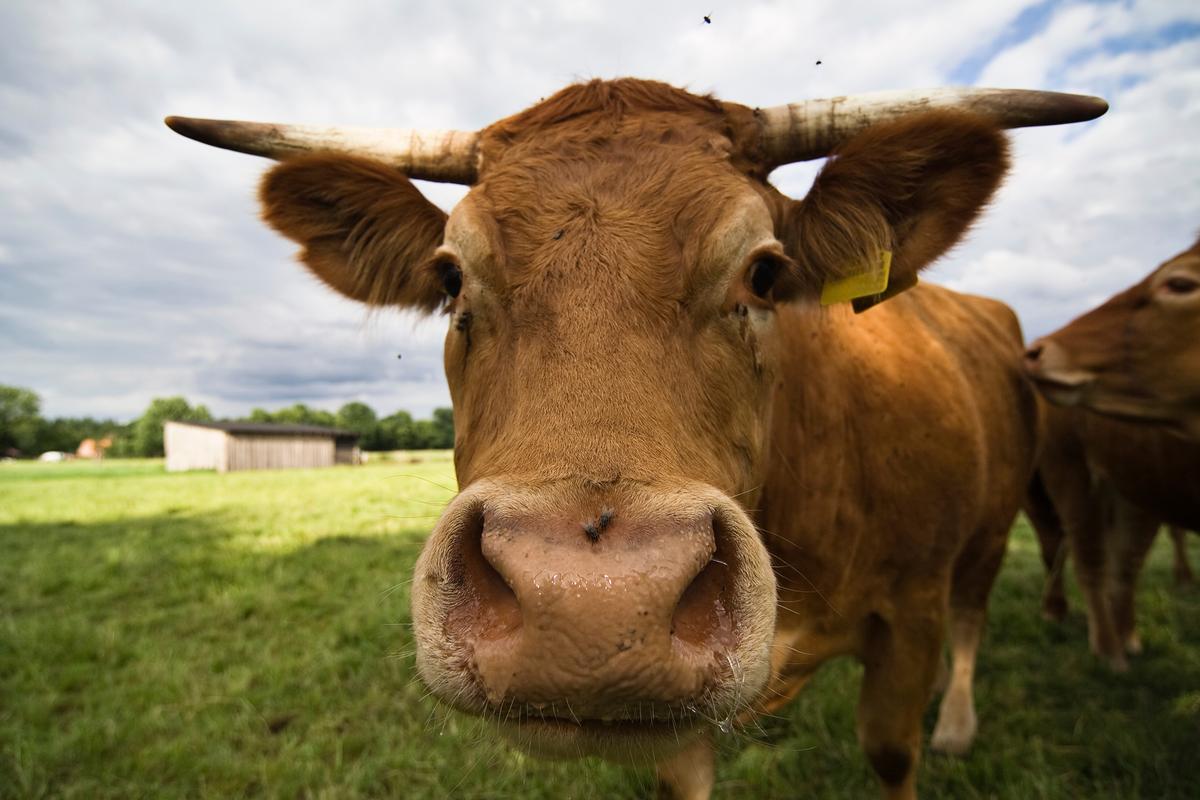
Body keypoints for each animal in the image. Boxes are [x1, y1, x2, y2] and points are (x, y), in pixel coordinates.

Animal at [167, 79, 1105, 799]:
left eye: (765, 272)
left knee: (973, 614)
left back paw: (959, 721)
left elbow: (891, 748)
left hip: (993, 527)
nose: (591, 607)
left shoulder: (910, 612)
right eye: (450, 277)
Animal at [1026, 403, 1200, 670]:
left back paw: (1125, 637)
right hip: (1070, 469)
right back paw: (1106, 649)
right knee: (1080, 553)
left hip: (1135, 482)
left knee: (1125, 560)